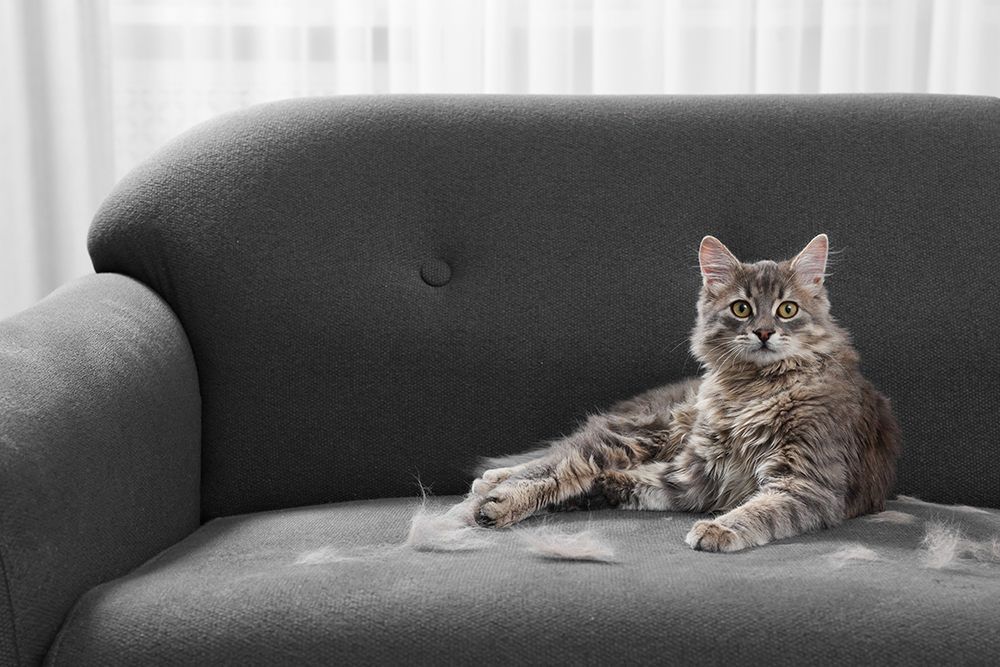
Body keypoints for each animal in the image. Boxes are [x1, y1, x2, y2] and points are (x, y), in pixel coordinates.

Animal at [472, 235, 904, 552]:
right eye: (742, 309)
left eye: (787, 310)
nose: (764, 332)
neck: (752, 387)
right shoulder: (700, 468)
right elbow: (576, 470)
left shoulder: (801, 484)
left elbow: (761, 509)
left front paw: (717, 528)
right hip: (642, 431)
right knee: (561, 459)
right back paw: (496, 490)